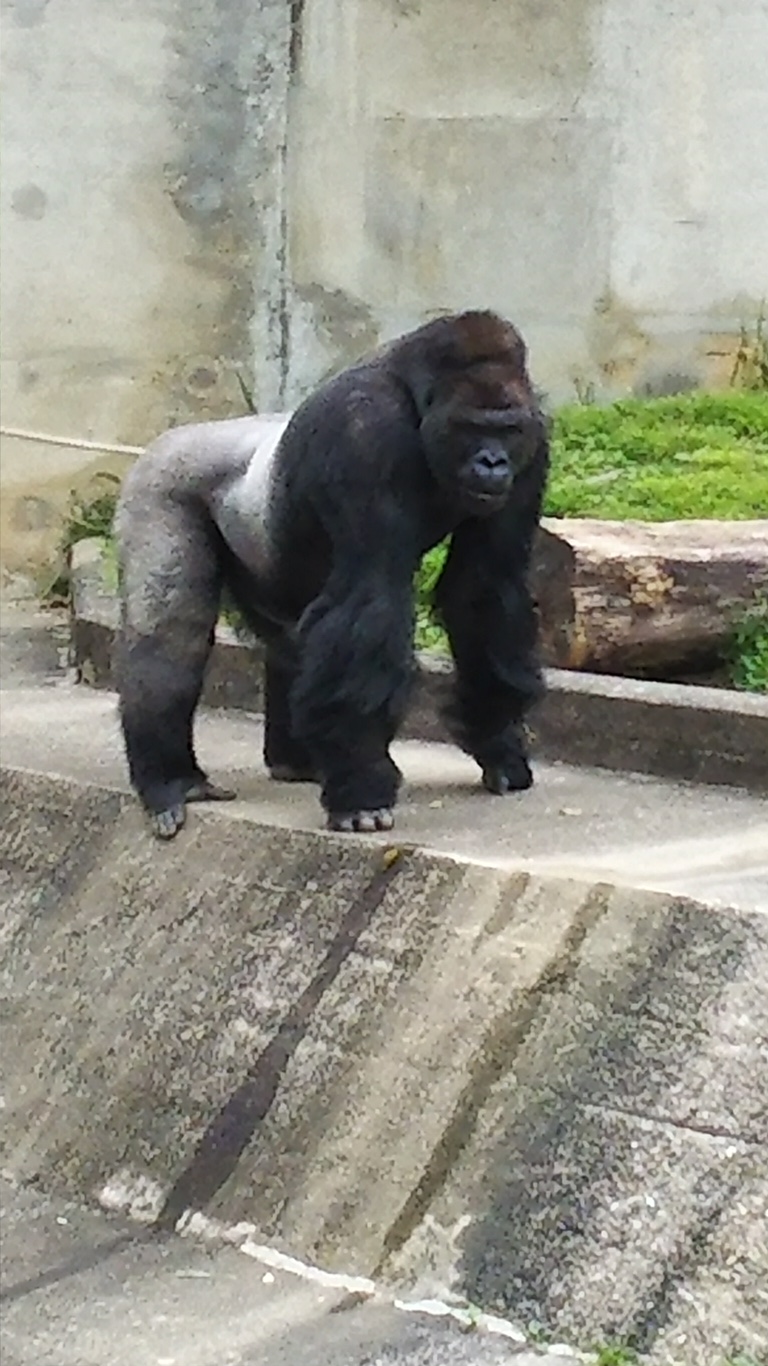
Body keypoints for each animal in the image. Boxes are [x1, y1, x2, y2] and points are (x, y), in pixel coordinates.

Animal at [113, 312, 546, 835]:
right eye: (470, 428)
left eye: (507, 430)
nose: (493, 462)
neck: (415, 393)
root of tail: (171, 436)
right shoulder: (365, 431)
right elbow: (373, 598)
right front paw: (361, 788)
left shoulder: (534, 442)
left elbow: (484, 587)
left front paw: (496, 739)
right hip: (159, 482)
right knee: (171, 631)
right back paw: (172, 778)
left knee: (289, 641)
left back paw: (295, 760)